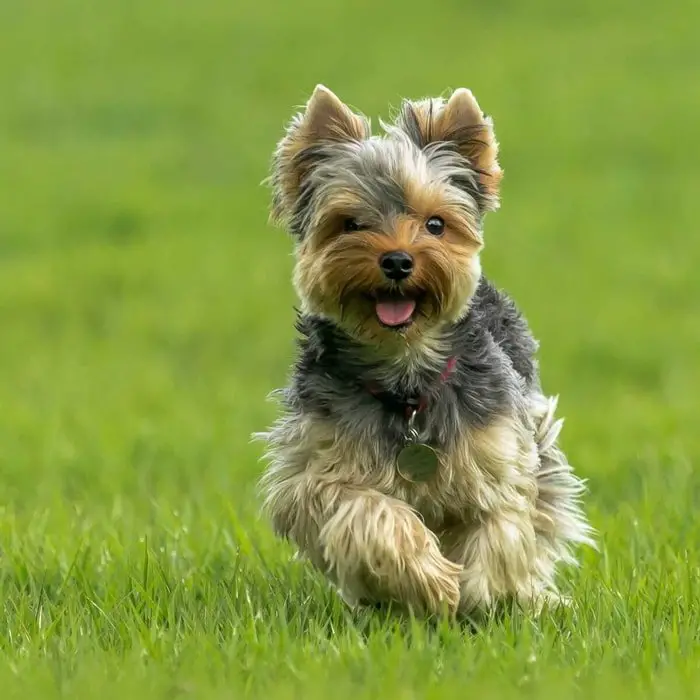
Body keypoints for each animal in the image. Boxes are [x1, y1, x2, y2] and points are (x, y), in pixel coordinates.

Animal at [254, 85, 592, 616]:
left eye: (435, 224)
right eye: (350, 223)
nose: (397, 260)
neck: (406, 374)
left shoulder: (501, 453)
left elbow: (503, 529)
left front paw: (479, 594)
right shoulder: (317, 470)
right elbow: (368, 514)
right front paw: (429, 581)